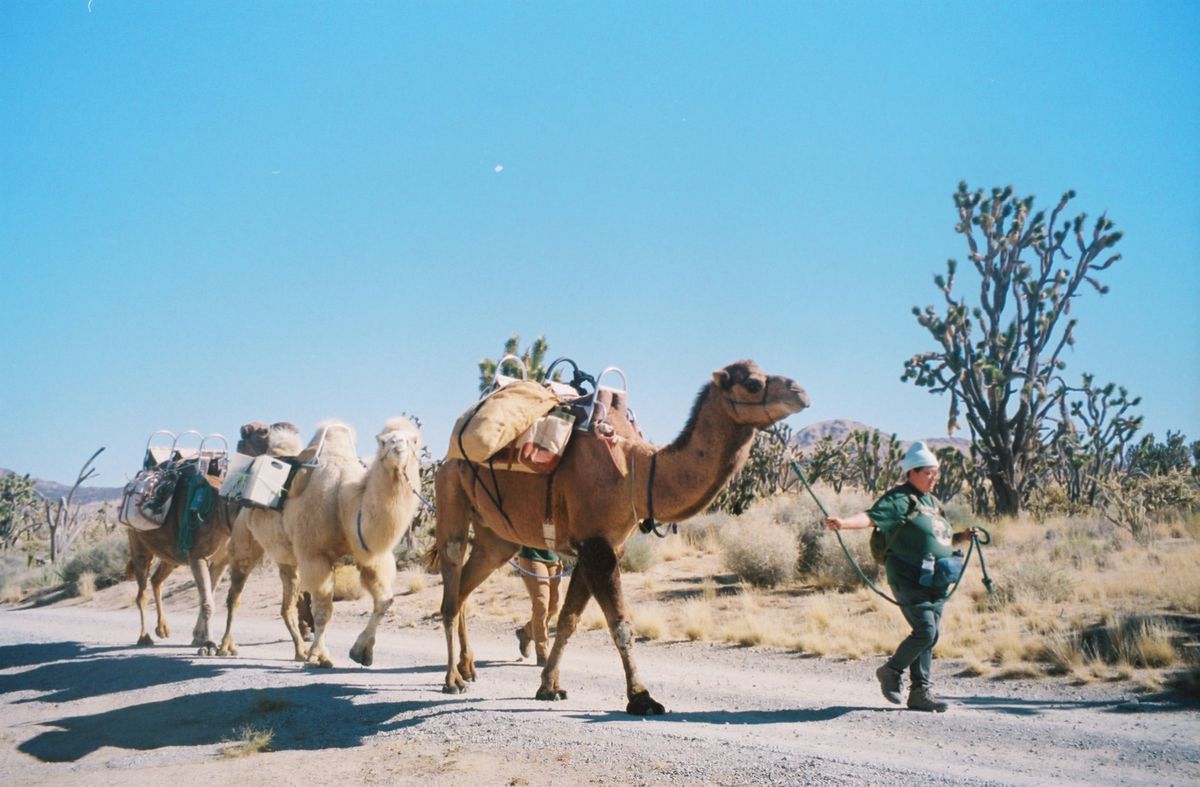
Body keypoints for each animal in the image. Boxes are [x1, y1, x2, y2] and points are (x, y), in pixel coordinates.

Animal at [124, 424, 270, 652]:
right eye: (258, 431)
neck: (222, 510)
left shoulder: (220, 560)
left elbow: (209, 597)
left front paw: (201, 639)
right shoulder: (197, 555)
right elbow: (207, 601)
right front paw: (209, 644)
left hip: (172, 554)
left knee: (157, 580)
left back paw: (162, 629)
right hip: (138, 544)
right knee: (141, 592)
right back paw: (144, 636)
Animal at [427, 359, 811, 715]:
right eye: (752, 383)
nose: (800, 392)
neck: (636, 471)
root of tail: (449, 455)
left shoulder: (599, 545)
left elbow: (568, 620)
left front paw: (550, 686)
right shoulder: (597, 546)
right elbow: (621, 623)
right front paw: (642, 698)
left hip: (497, 536)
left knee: (465, 588)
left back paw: (468, 667)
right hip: (451, 494)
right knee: (451, 588)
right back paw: (452, 680)